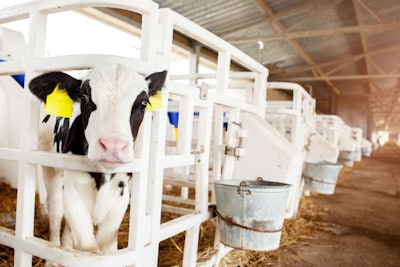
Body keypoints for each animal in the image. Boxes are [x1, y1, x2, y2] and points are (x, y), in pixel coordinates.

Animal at [28, 62, 166, 253]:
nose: (113, 146)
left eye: (143, 104)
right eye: (84, 98)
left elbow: (107, 246)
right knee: (55, 209)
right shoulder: (72, 188)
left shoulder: (121, 193)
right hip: (49, 164)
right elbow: (88, 246)